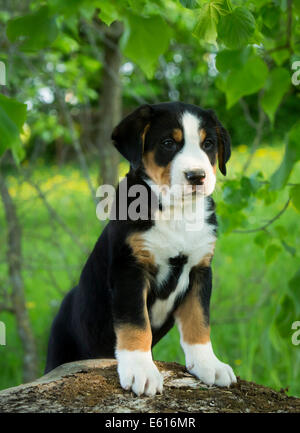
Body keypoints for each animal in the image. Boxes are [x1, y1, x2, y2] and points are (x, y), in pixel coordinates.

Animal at [44, 101, 237, 394]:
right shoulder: (130, 270)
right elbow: (135, 323)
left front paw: (208, 364)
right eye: (168, 143)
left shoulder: (200, 270)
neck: (176, 212)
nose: (197, 176)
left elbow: (198, 321)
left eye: (208, 144)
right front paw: (141, 370)